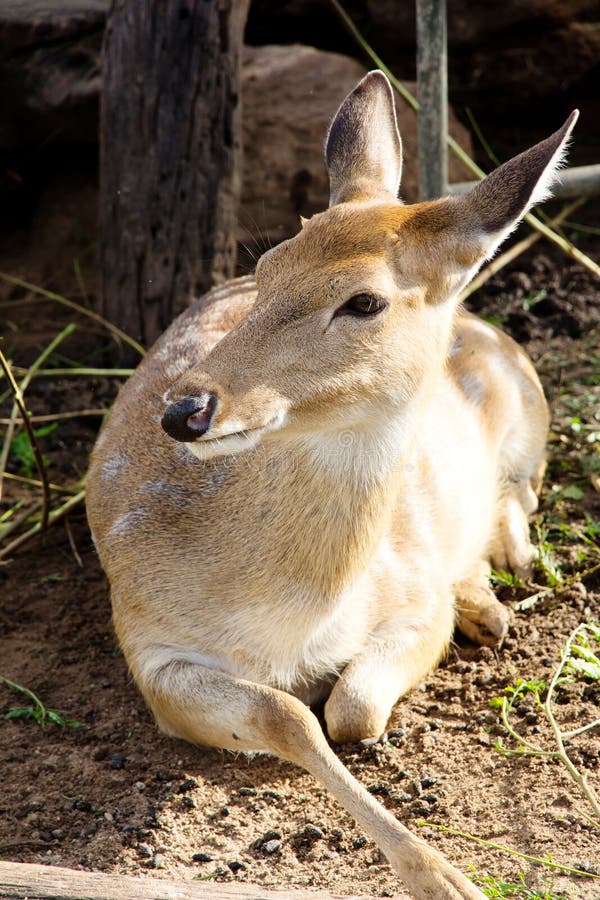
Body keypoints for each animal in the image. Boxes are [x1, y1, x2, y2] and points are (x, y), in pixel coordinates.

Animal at [86, 71, 577, 900]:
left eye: (365, 301)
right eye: (267, 267)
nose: (186, 410)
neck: (288, 618)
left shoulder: (415, 600)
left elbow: (349, 706)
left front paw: (450, 879)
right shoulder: (146, 641)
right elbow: (291, 716)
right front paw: (444, 877)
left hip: (527, 403)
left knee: (524, 494)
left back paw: (492, 591)